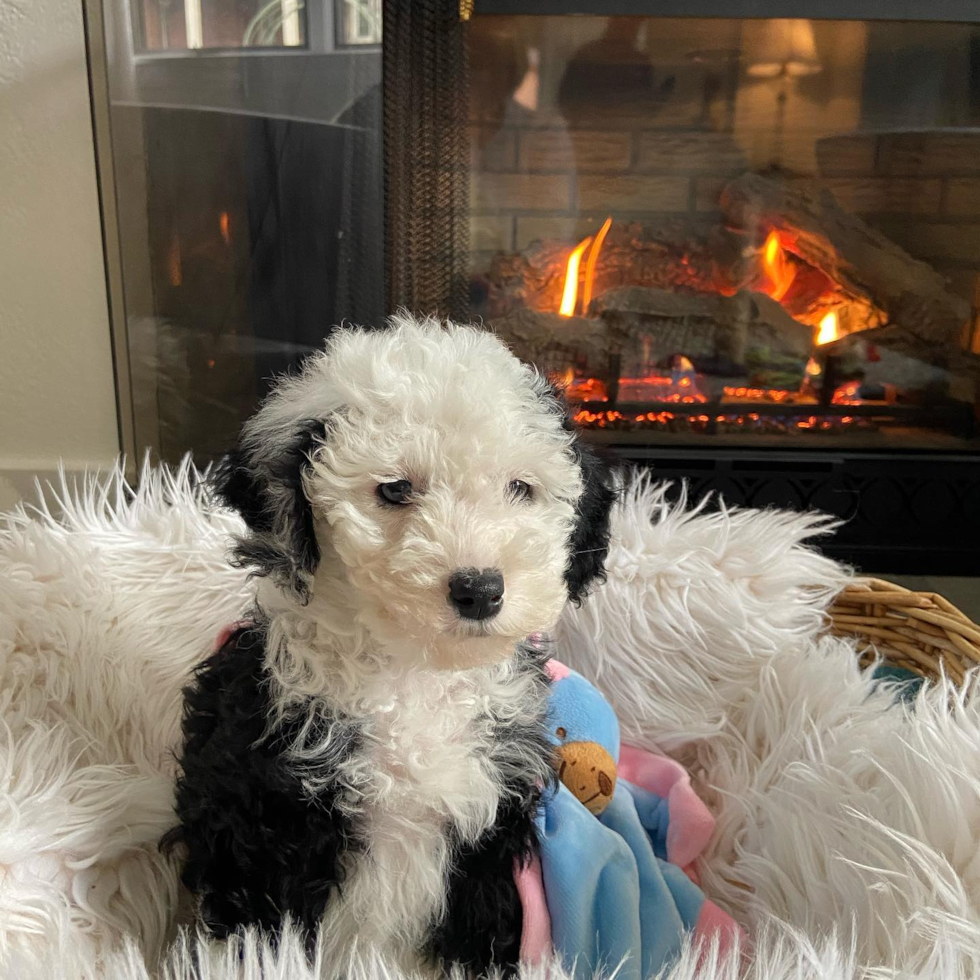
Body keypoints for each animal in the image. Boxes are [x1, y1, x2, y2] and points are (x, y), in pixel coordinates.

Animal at [168, 314, 612, 972]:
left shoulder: (489, 821)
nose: (480, 589)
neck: (413, 674)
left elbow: (485, 922)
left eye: (520, 488)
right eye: (396, 490)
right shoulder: (268, 814)